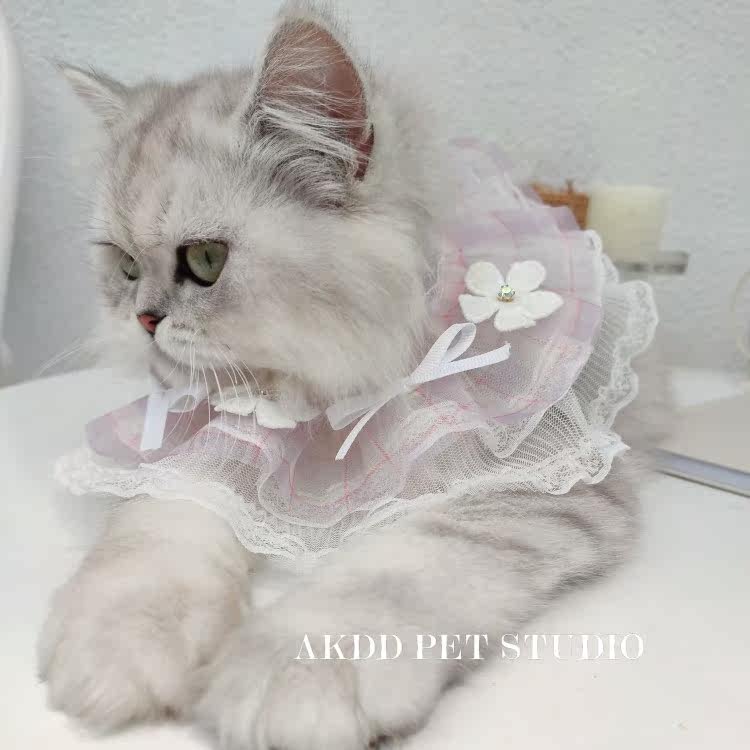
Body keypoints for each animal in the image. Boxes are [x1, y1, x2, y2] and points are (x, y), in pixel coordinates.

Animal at [38, 2, 666, 748]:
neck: (317, 399)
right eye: (125, 267)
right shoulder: (215, 442)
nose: (142, 319)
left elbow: (392, 573)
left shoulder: (533, 485)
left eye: (206, 261)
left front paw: (288, 677)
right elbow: (159, 528)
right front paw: (117, 644)